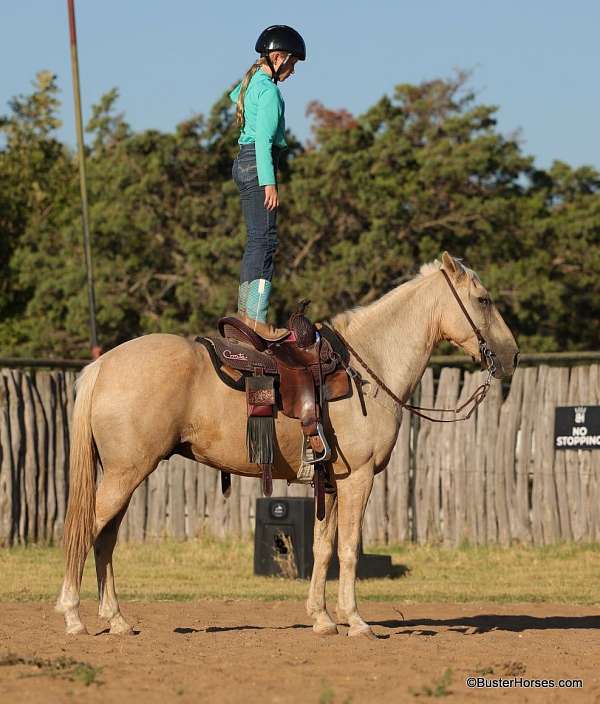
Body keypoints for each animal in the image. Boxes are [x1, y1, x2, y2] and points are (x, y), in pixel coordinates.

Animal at [57, 254, 520, 640]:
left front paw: (322, 618)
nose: (512, 355)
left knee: (105, 539)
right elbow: (349, 548)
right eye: (483, 299)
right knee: (87, 531)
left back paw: (117, 620)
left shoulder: (330, 481)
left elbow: (323, 546)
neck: (368, 365)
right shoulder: (359, 479)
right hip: (125, 474)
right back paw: (73, 616)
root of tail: (104, 364)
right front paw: (356, 621)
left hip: (124, 476)